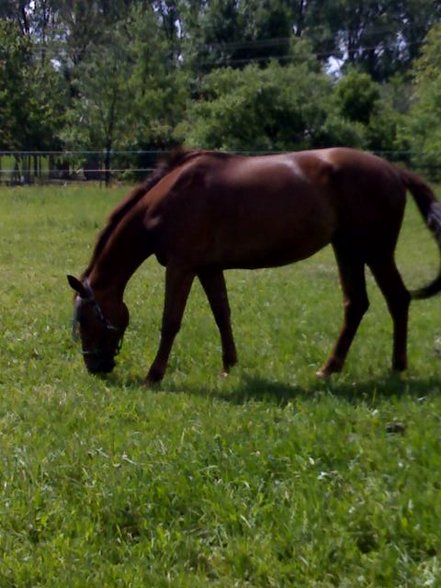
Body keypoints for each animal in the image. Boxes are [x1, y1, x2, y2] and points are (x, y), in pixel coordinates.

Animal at [67, 149, 440, 384]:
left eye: (84, 319)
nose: (94, 366)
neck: (168, 198)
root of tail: (392, 170)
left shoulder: (181, 266)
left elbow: (170, 322)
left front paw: (153, 375)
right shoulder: (207, 267)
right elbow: (222, 314)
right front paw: (228, 366)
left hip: (375, 251)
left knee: (398, 299)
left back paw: (397, 367)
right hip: (347, 250)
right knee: (357, 304)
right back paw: (329, 369)